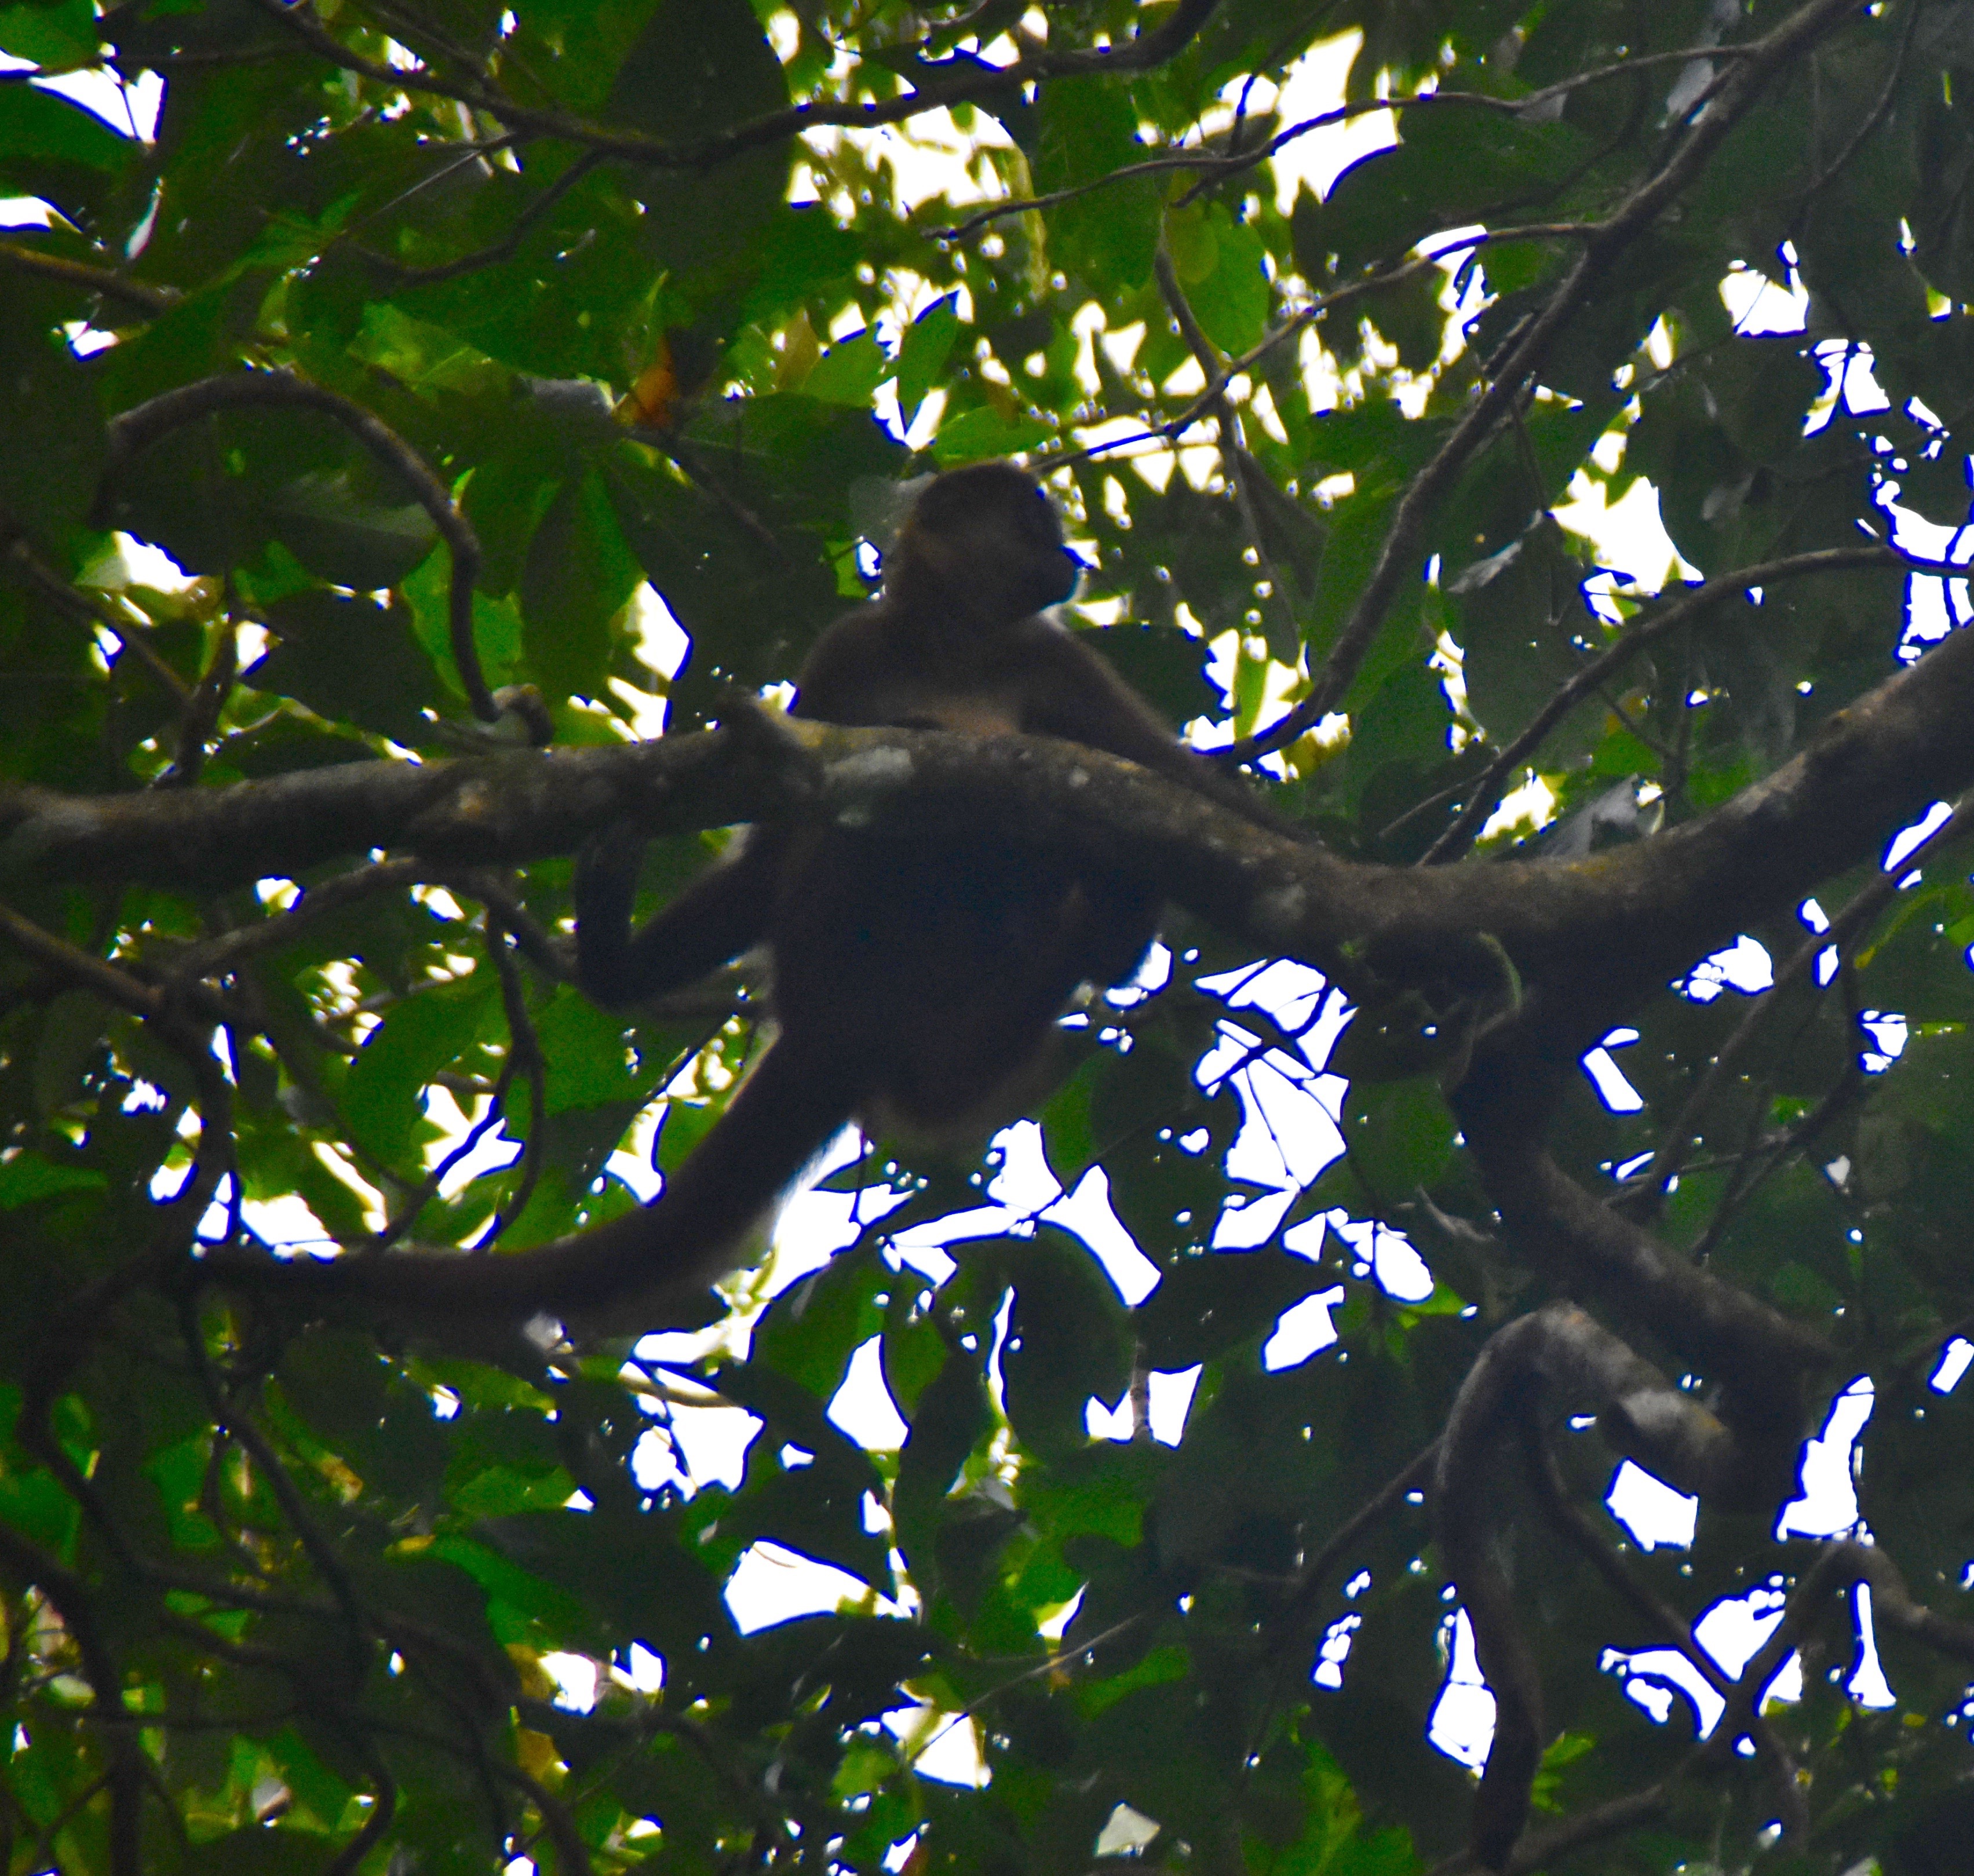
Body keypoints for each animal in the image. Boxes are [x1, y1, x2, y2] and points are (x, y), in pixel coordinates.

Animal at [220, 463, 1294, 1327]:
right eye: (1034, 526)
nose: (1069, 554)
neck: (950, 646)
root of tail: (833, 1031)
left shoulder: (1052, 658)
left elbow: (1190, 794)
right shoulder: (849, 651)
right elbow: (775, 845)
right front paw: (618, 970)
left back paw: (1101, 929)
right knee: (848, 851)